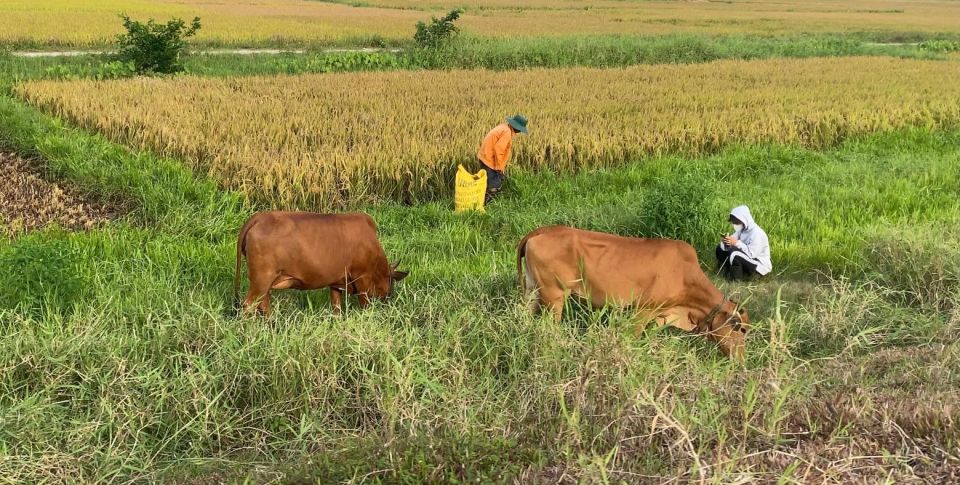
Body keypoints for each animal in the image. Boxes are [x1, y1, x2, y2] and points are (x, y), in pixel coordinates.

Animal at [238, 211, 410, 316]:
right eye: (392, 282)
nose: (388, 298)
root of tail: (260, 217)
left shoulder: (336, 281)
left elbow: (336, 307)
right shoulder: (362, 278)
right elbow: (365, 305)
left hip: (264, 283)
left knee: (263, 304)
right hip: (261, 279)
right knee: (249, 305)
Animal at [516, 225, 752, 358]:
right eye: (741, 330)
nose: (741, 361)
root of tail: (541, 231)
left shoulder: (661, 315)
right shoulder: (642, 311)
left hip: (533, 291)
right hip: (554, 296)